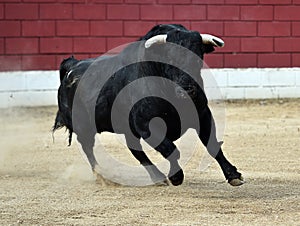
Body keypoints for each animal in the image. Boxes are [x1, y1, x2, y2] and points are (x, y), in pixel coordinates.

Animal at [52, 23, 244, 186]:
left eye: (198, 58)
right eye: (170, 59)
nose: (188, 90)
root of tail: (72, 66)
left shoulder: (203, 115)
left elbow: (212, 144)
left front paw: (233, 175)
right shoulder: (146, 126)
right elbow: (171, 149)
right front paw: (176, 176)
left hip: (126, 129)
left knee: (135, 151)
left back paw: (156, 177)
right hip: (84, 127)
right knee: (89, 149)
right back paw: (102, 177)